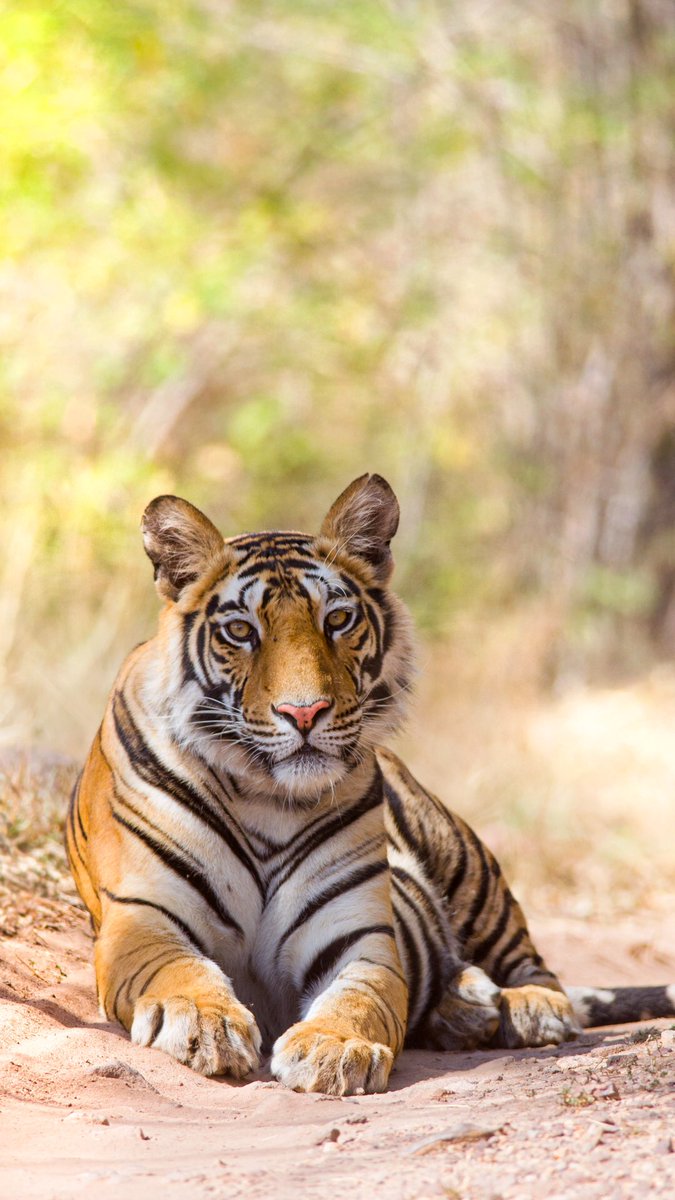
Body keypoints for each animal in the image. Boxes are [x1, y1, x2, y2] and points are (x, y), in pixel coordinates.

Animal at [66, 470, 672, 1099]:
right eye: (240, 631)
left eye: (337, 620)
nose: (304, 713)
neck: (263, 797)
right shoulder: (142, 916)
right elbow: (178, 970)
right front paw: (205, 1024)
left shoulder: (356, 935)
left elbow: (360, 997)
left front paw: (335, 1049)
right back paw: (466, 1007)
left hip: (465, 861)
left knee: (534, 962)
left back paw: (528, 1007)